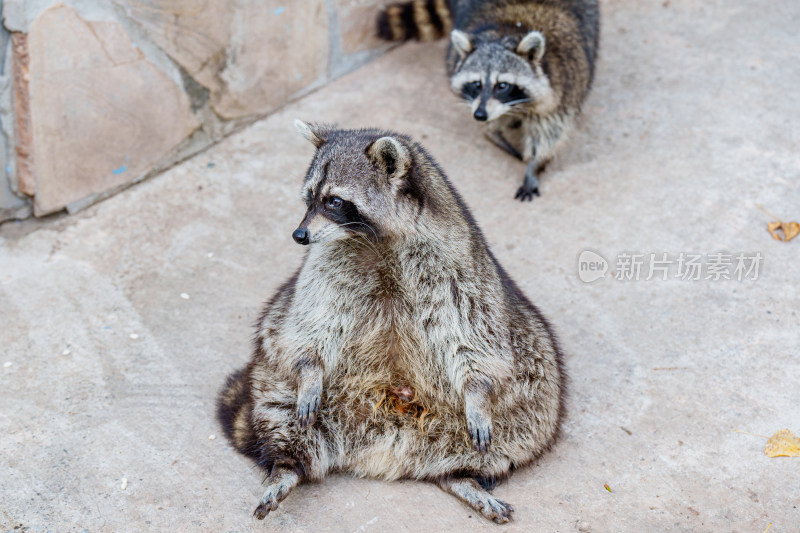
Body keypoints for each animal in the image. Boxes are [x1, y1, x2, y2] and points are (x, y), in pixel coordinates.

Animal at [216, 121, 564, 524]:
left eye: (334, 201)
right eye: (308, 198)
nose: (299, 235)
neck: (373, 239)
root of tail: (386, 448)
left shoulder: (459, 266)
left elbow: (471, 336)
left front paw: (476, 393)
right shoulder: (326, 264)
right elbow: (312, 322)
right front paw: (310, 370)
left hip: (530, 381)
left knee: (524, 420)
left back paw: (462, 476)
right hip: (274, 378)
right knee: (280, 408)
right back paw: (286, 466)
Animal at [378, 0, 596, 200]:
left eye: (502, 85)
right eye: (476, 84)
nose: (480, 115)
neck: (507, 31)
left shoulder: (564, 85)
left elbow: (549, 130)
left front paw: (534, 164)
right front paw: (494, 134)